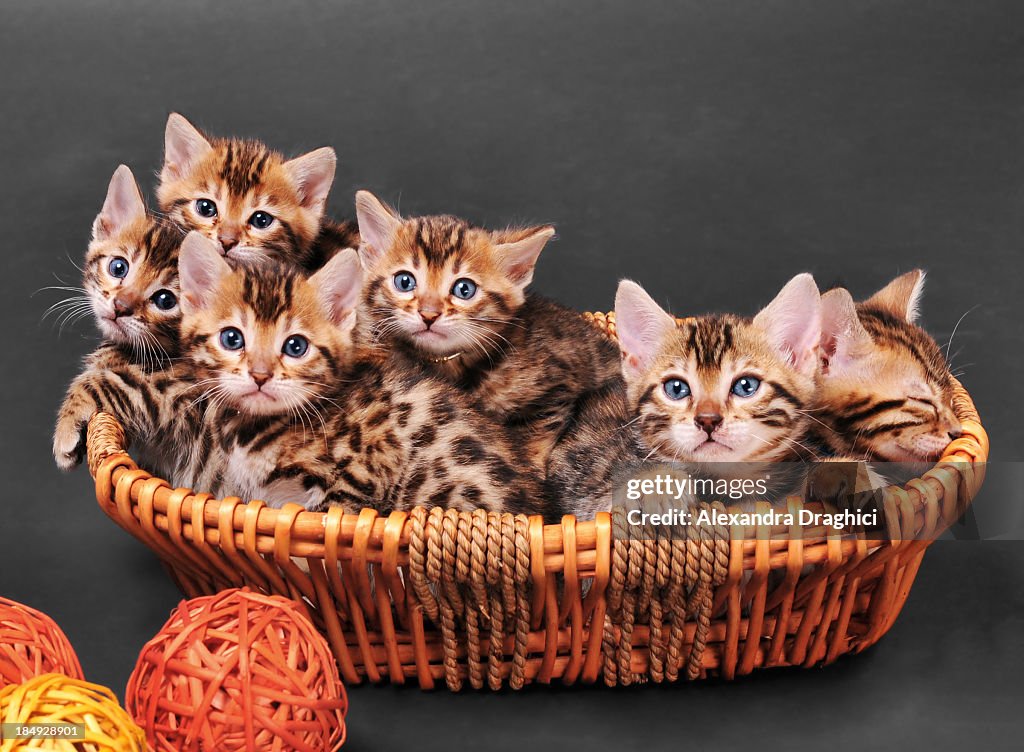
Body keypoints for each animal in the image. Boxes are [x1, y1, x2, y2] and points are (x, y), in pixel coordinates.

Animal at [352, 191, 622, 469]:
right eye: (404, 282)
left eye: (464, 289)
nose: (429, 314)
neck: (452, 363)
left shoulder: (558, 389)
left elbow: (532, 443)